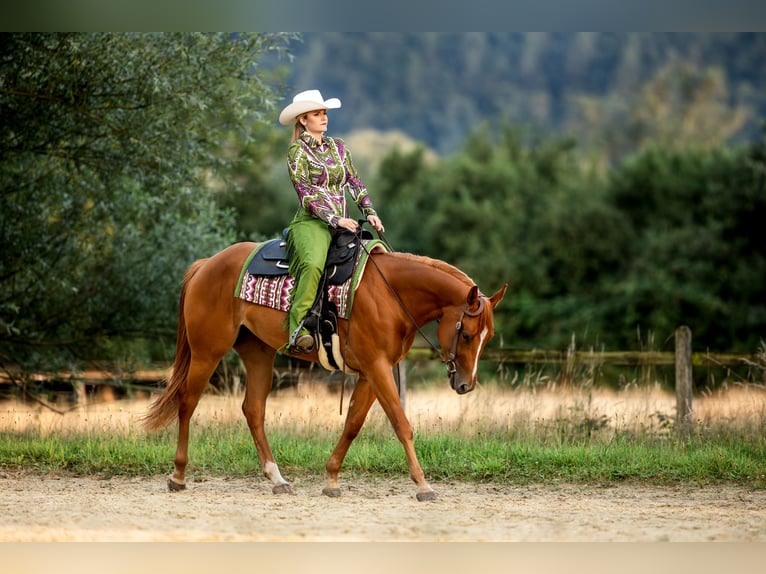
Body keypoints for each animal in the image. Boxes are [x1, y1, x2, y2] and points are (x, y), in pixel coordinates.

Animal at [142, 241, 510, 502]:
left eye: (488, 337)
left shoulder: (371, 372)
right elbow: (401, 424)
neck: (390, 294)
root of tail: (206, 264)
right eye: (466, 334)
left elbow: (353, 424)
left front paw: (331, 479)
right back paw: (178, 475)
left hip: (258, 353)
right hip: (208, 352)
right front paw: (423, 486)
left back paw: (277, 479)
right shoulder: (378, 367)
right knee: (188, 402)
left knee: (253, 410)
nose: (465, 385)